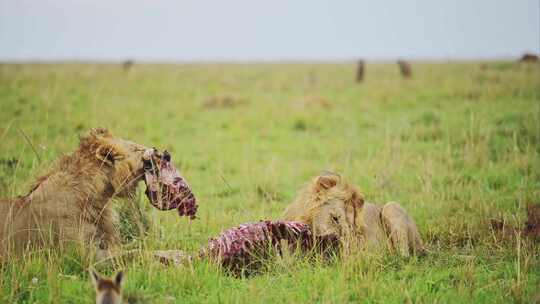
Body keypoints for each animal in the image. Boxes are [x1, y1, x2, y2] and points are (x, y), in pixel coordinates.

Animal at [1, 127, 195, 260]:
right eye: (137, 149)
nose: (165, 154)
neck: (98, 197)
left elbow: (137, 248)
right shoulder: (81, 255)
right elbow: (135, 253)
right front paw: (179, 257)